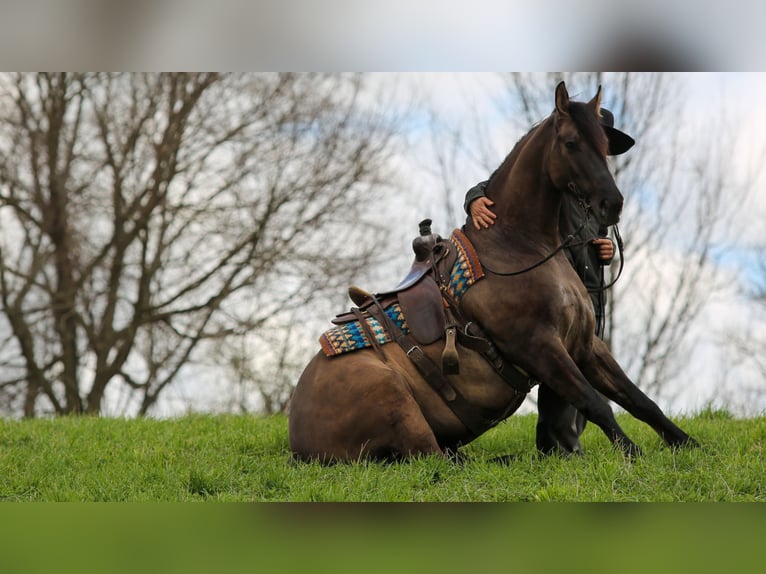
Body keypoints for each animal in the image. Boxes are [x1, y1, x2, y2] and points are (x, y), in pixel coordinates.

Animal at [288, 82, 697, 462]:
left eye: (602, 143)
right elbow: (593, 402)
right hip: (397, 401)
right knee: (433, 458)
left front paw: (688, 445)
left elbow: (638, 399)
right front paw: (633, 455)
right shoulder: (539, 347)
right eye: (570, 143)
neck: (516, 246)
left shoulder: (585, 343)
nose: (611, 204)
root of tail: (297, 441)